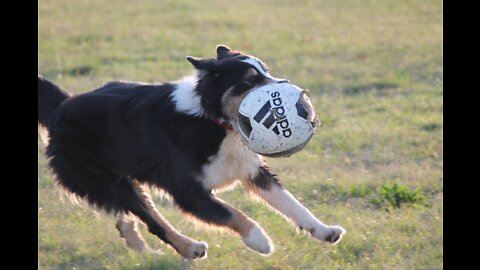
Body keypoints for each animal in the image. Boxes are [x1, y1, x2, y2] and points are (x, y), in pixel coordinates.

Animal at [37, 45, 344, 258]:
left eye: (266, 70)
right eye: (250, 79)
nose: (290, 88)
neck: (214, 120)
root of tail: (61, 107)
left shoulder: (252, 170)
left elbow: (292, 204)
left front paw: (325, 231)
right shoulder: (186, 190)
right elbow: (232, 214)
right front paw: (259, 240)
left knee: (125, 221)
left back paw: (148, 255)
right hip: (106, 180)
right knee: (151, 219)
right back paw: (190, 249)